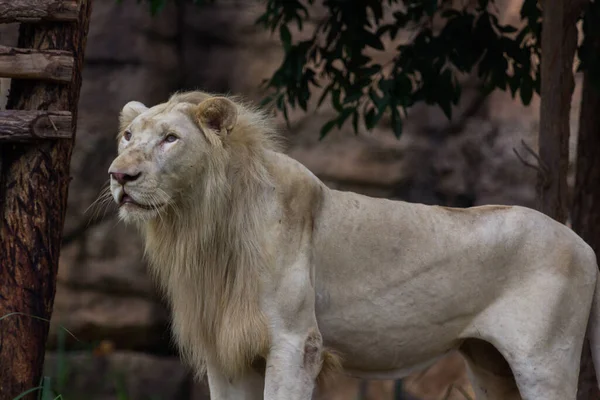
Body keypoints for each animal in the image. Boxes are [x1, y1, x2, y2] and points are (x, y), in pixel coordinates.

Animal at [108, 91, 600, 400]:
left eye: (170, 139)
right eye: (128, 136)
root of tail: (585, 244)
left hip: (544, 359)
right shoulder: (228, 350)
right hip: (490, 364)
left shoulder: (295, 342)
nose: (119, 175)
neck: (203, 225)